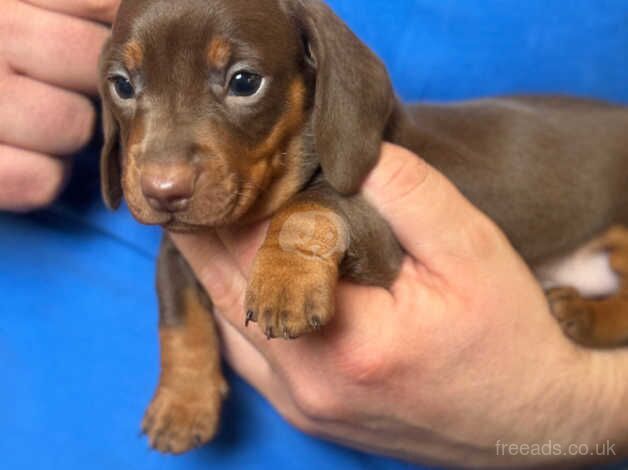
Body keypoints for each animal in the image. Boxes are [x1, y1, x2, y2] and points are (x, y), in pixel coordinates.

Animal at [98, 0, 628, 456]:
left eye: (244, 81)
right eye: (121, 85)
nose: (163, 191)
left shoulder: (380, 241)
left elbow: (312, 204)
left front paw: (285, 278)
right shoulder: (180, 246)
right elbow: (177, 313)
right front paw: (183, 400)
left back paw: (584, 314)